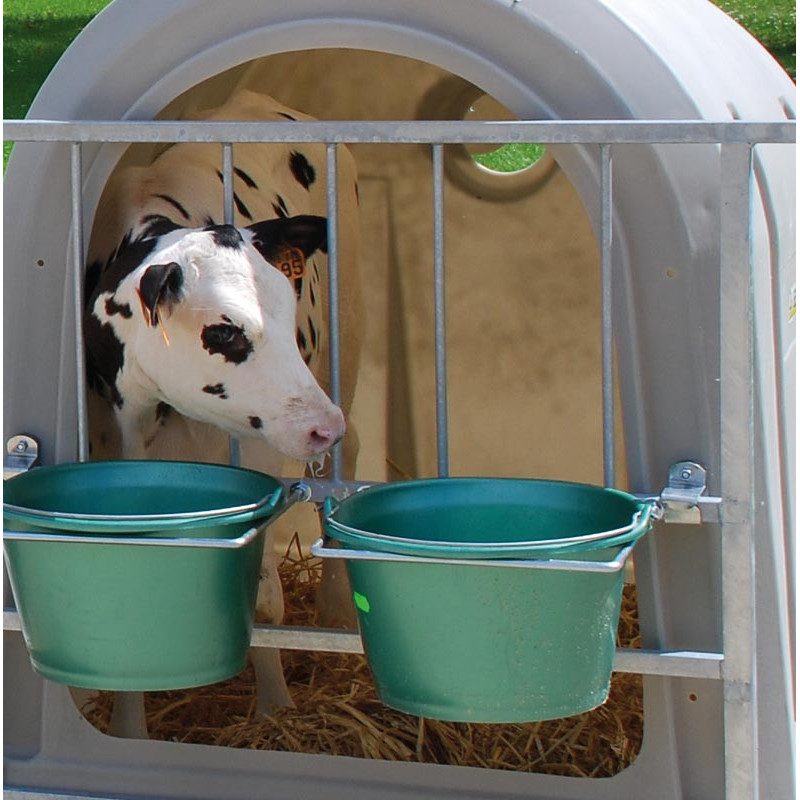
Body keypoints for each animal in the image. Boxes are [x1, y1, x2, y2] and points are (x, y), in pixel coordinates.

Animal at [81, 89, 362, 735]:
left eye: (288, 308)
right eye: (226, 330)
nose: (322, 425)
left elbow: (263, 597)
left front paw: (275, 712)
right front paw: (128, 731)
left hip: (347, 338)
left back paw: (337, 613)